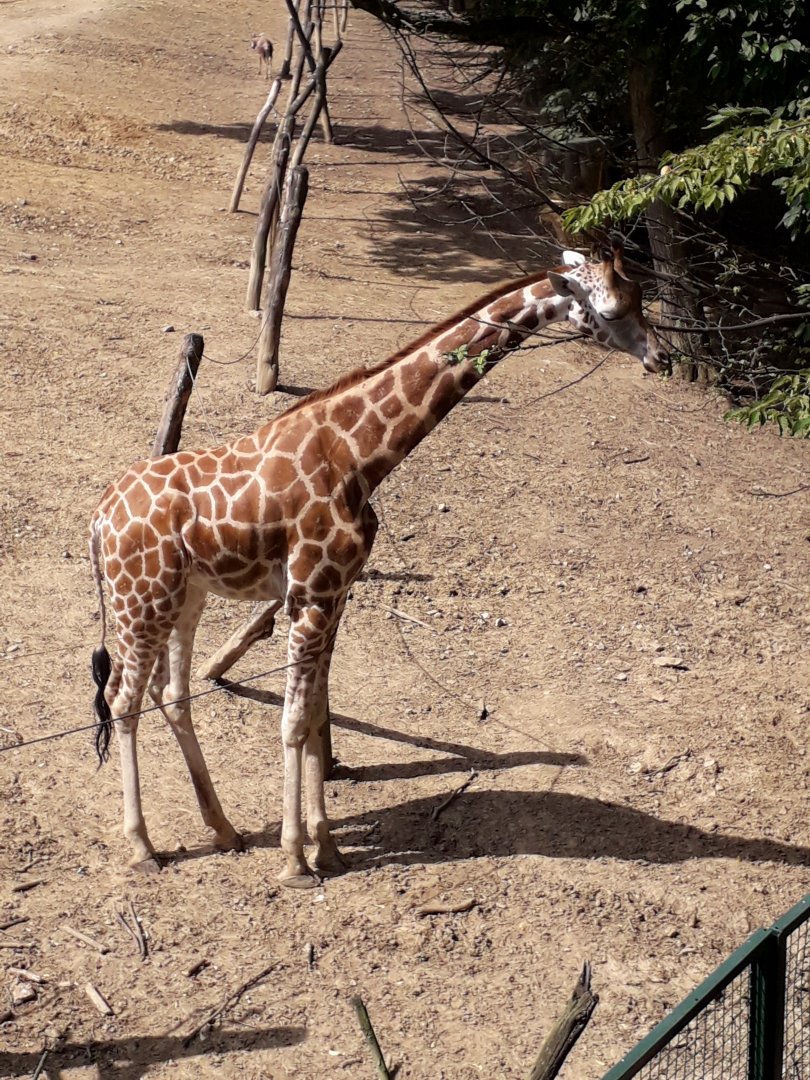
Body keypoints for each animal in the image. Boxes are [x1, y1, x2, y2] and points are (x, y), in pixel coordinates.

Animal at [89, 240, 668, 887]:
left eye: (640, 297)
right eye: (615, 306)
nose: (663, 357)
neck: (360, 455)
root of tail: (98, 520)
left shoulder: (337, 592)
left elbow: (317, 711)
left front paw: (326, 847)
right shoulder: (312, 593)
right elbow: (295, 721)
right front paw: (295, 859)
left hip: (184, 597)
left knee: (171, 693)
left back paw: (225, 830)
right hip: (142, 601)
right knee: (124, 702)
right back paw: (143, 847)